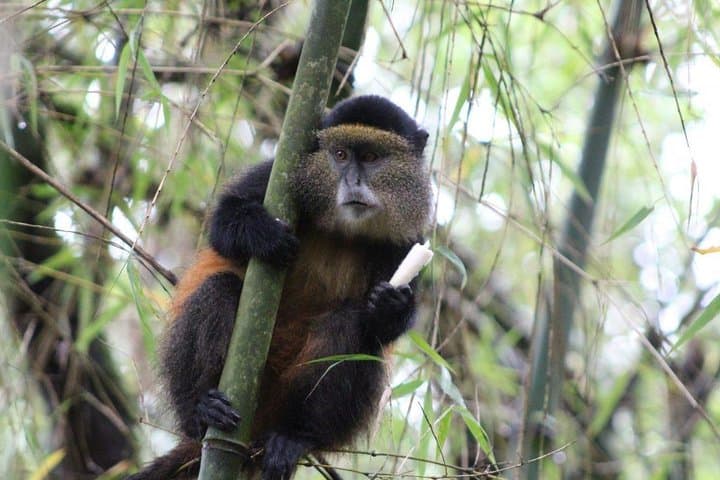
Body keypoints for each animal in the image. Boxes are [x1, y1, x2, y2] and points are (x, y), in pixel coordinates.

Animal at [128, 95, 431, 480]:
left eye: (372, 157)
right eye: (340, 155)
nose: (352, 180)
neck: (344, 230)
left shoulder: (410, 238)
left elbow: (384, 329)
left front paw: (392, 305)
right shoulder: (278, 174)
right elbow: (223, 221)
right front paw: (263, 234)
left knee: (350, 324)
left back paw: (293, 437)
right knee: (219, 289)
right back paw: (203, 409)